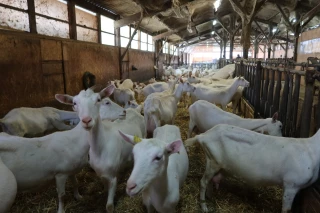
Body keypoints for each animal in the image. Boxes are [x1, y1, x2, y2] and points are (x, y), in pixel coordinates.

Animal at [185, 124, 320, 212]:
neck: (311, 150)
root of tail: (203, 136)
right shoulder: (291, 184)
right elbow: (286, 209)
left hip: (214, 163)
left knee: (210, 180)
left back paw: (210, 197)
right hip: (213, 160)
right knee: (203, 182)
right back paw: (204, 207)